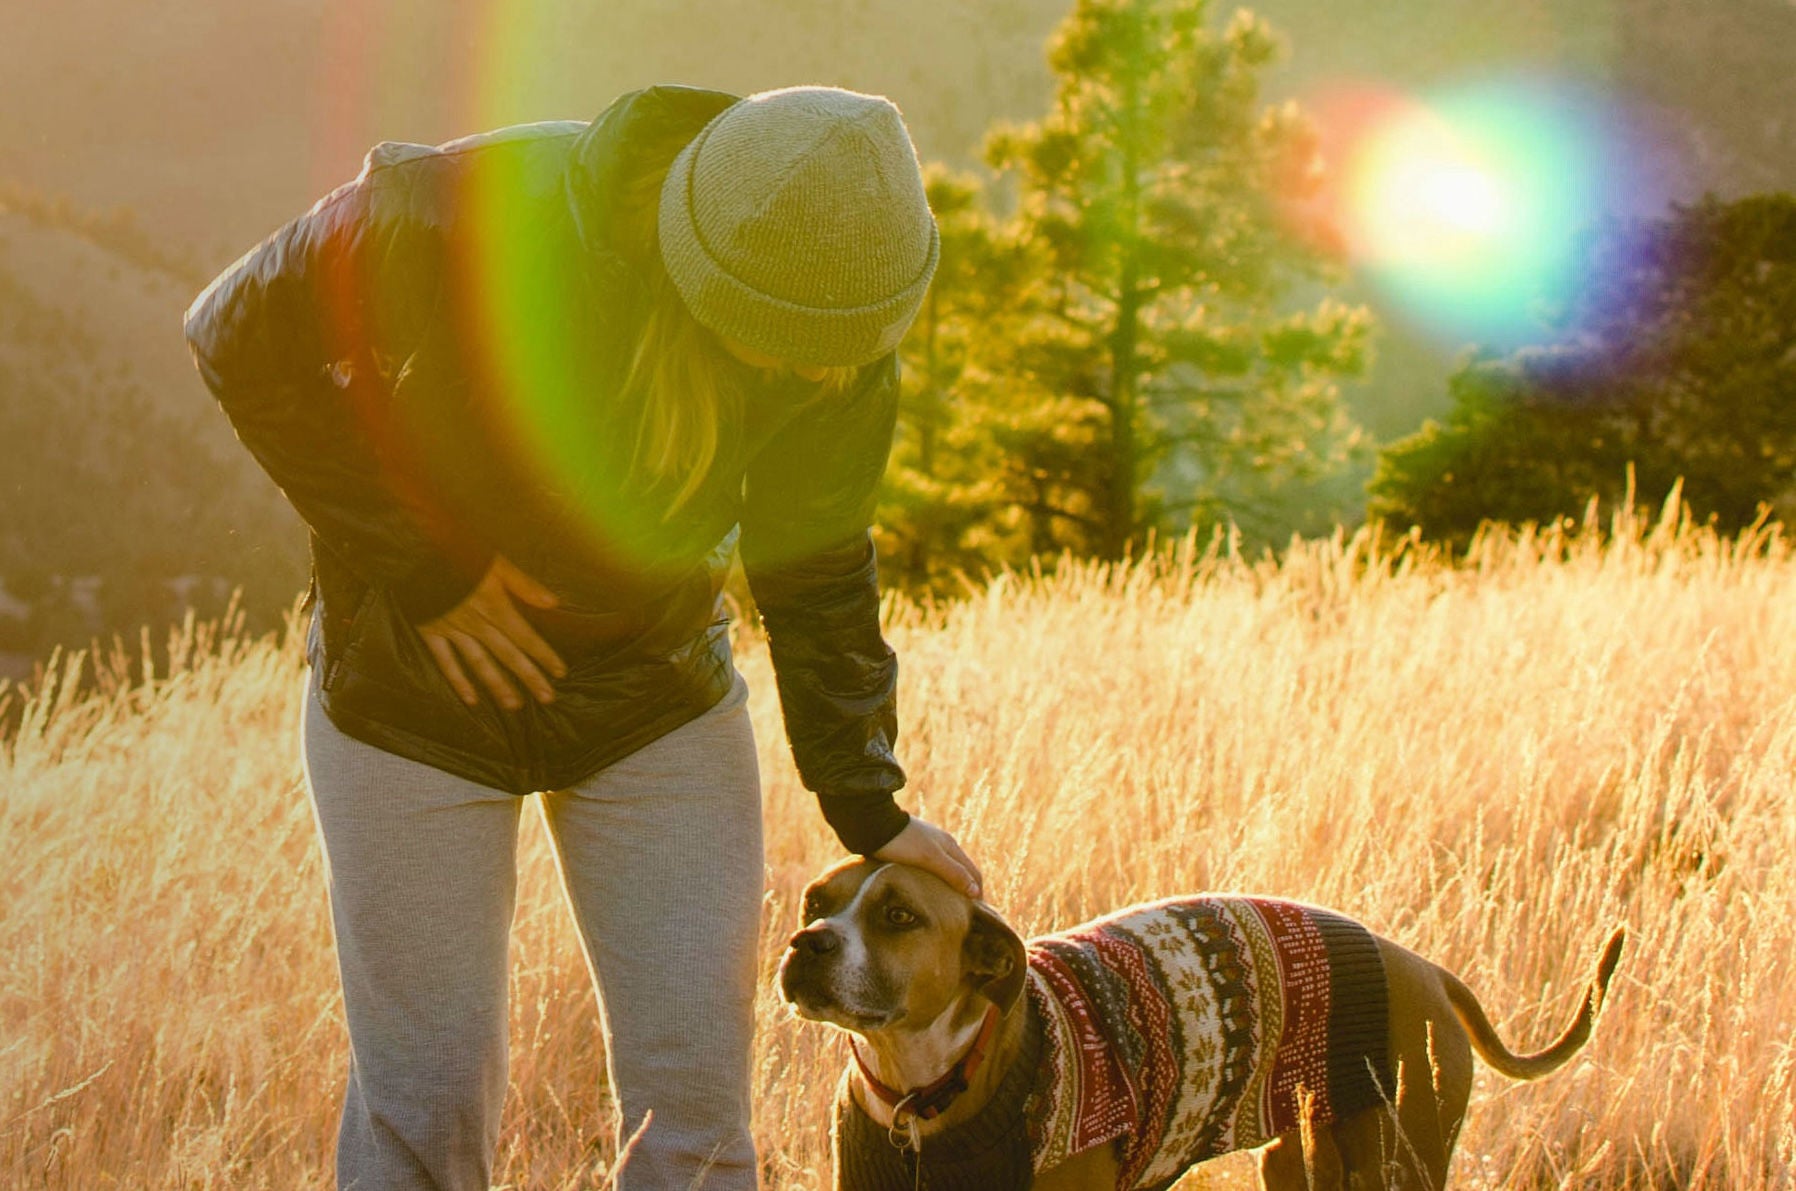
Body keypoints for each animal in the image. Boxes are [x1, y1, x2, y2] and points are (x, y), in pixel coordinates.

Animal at [779, 862, 1623, 1185]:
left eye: (898, 915)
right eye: (817, 900)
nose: (805, 942)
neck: (927, 1085)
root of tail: (1429, 970)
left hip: (1401, 1157)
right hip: (1301, 1158)